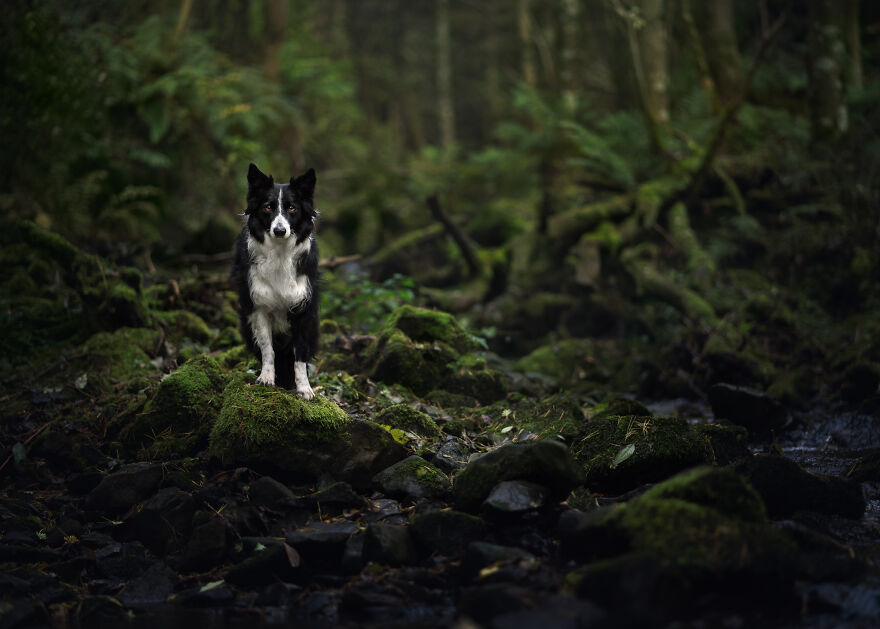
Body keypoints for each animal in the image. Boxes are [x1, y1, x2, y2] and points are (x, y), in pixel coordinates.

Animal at [230, 162, 320, 398]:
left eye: (292, 208)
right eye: (268, 208)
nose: (280, 230)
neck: (280, 253)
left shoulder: (303, 310)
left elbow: (300, 356)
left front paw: (304, 388)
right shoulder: (258, 307)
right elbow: (267, 348)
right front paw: (267, 378)